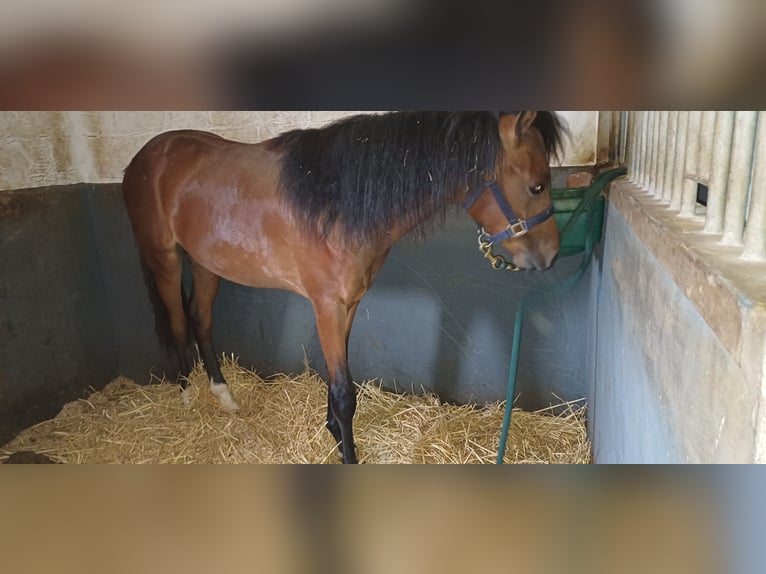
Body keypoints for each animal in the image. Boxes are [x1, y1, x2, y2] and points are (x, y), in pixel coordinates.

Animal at [124, 111, 564, 464]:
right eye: (537, 186)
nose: (551, 255)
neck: (334, 205)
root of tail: (145, 156)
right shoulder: (328, 307)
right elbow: (343, 393)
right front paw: (347, 454)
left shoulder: (348, 305)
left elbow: (337, 383)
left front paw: (334, 435)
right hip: (165, 259)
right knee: (178, 319)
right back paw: (186, 397)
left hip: (205, 263)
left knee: (201, 318)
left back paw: (224, 396)